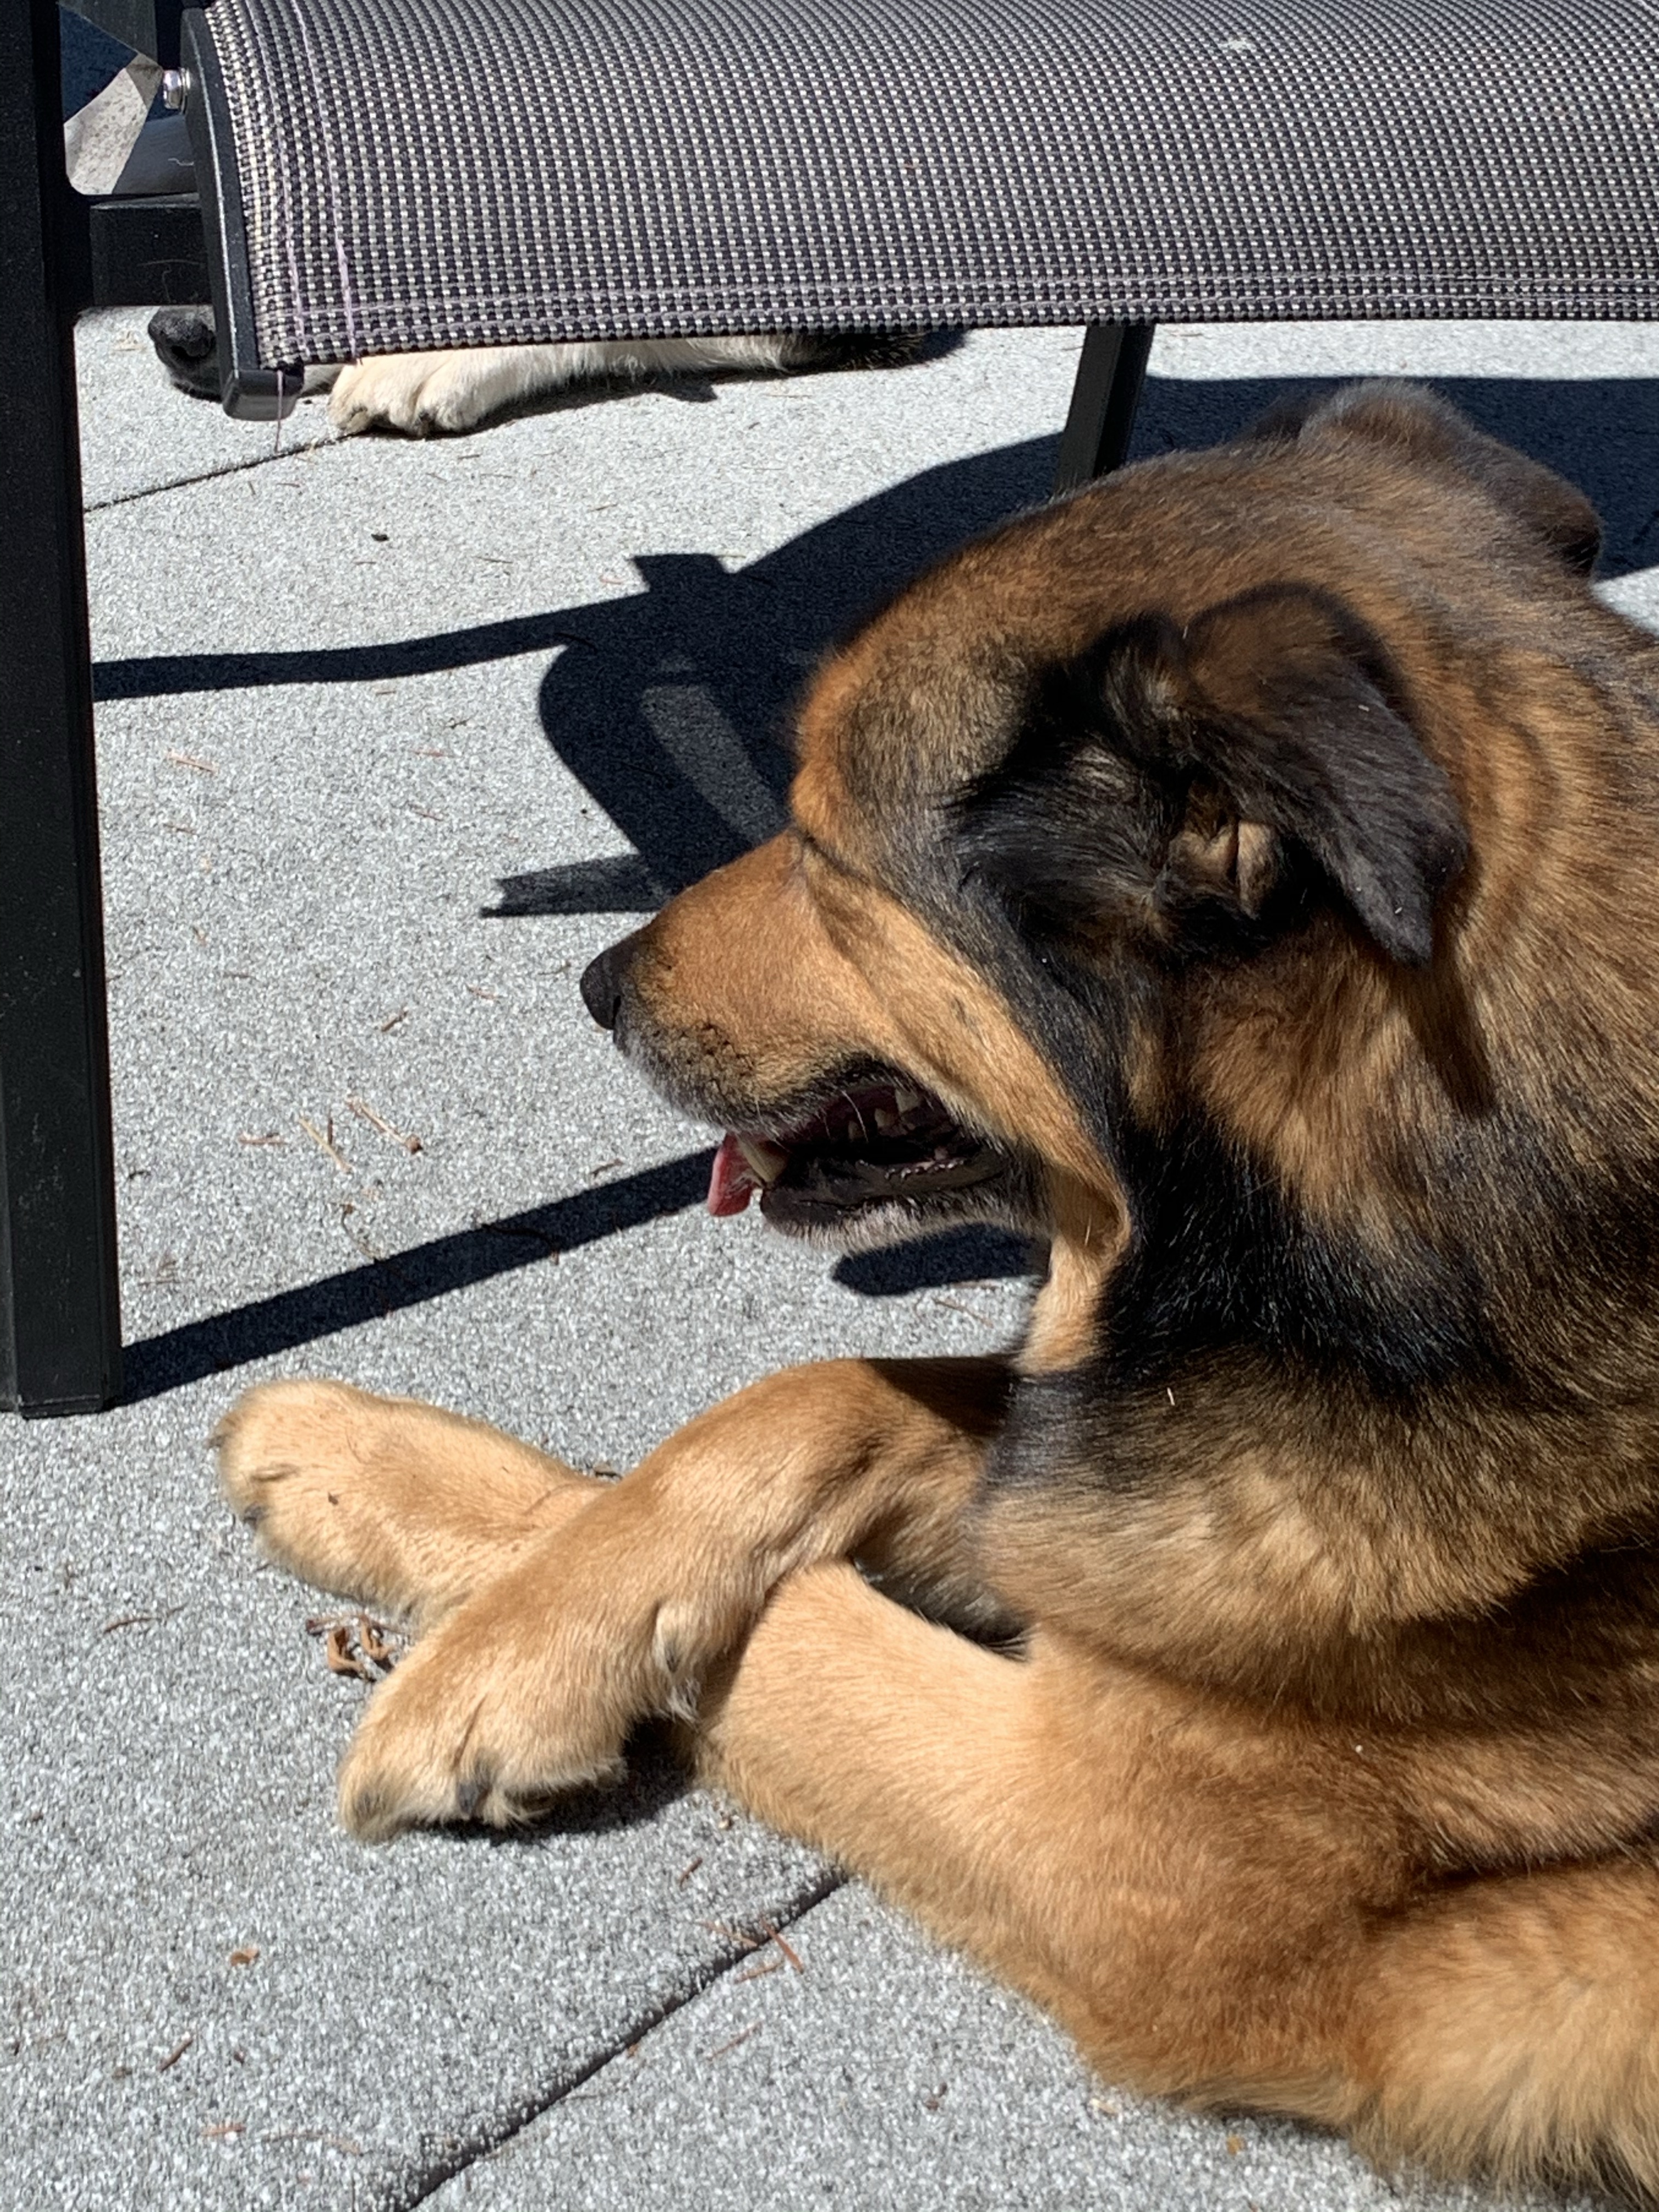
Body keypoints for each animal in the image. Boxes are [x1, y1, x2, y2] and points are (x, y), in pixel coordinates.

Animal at [216, 382, 1659, 2199]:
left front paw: (486, 1666)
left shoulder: (1109, 1853)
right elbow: (801, 1404)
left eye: (829, 853)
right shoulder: (1105, 1475)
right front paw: (366, 1471)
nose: (597, 983)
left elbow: (811, 1634)